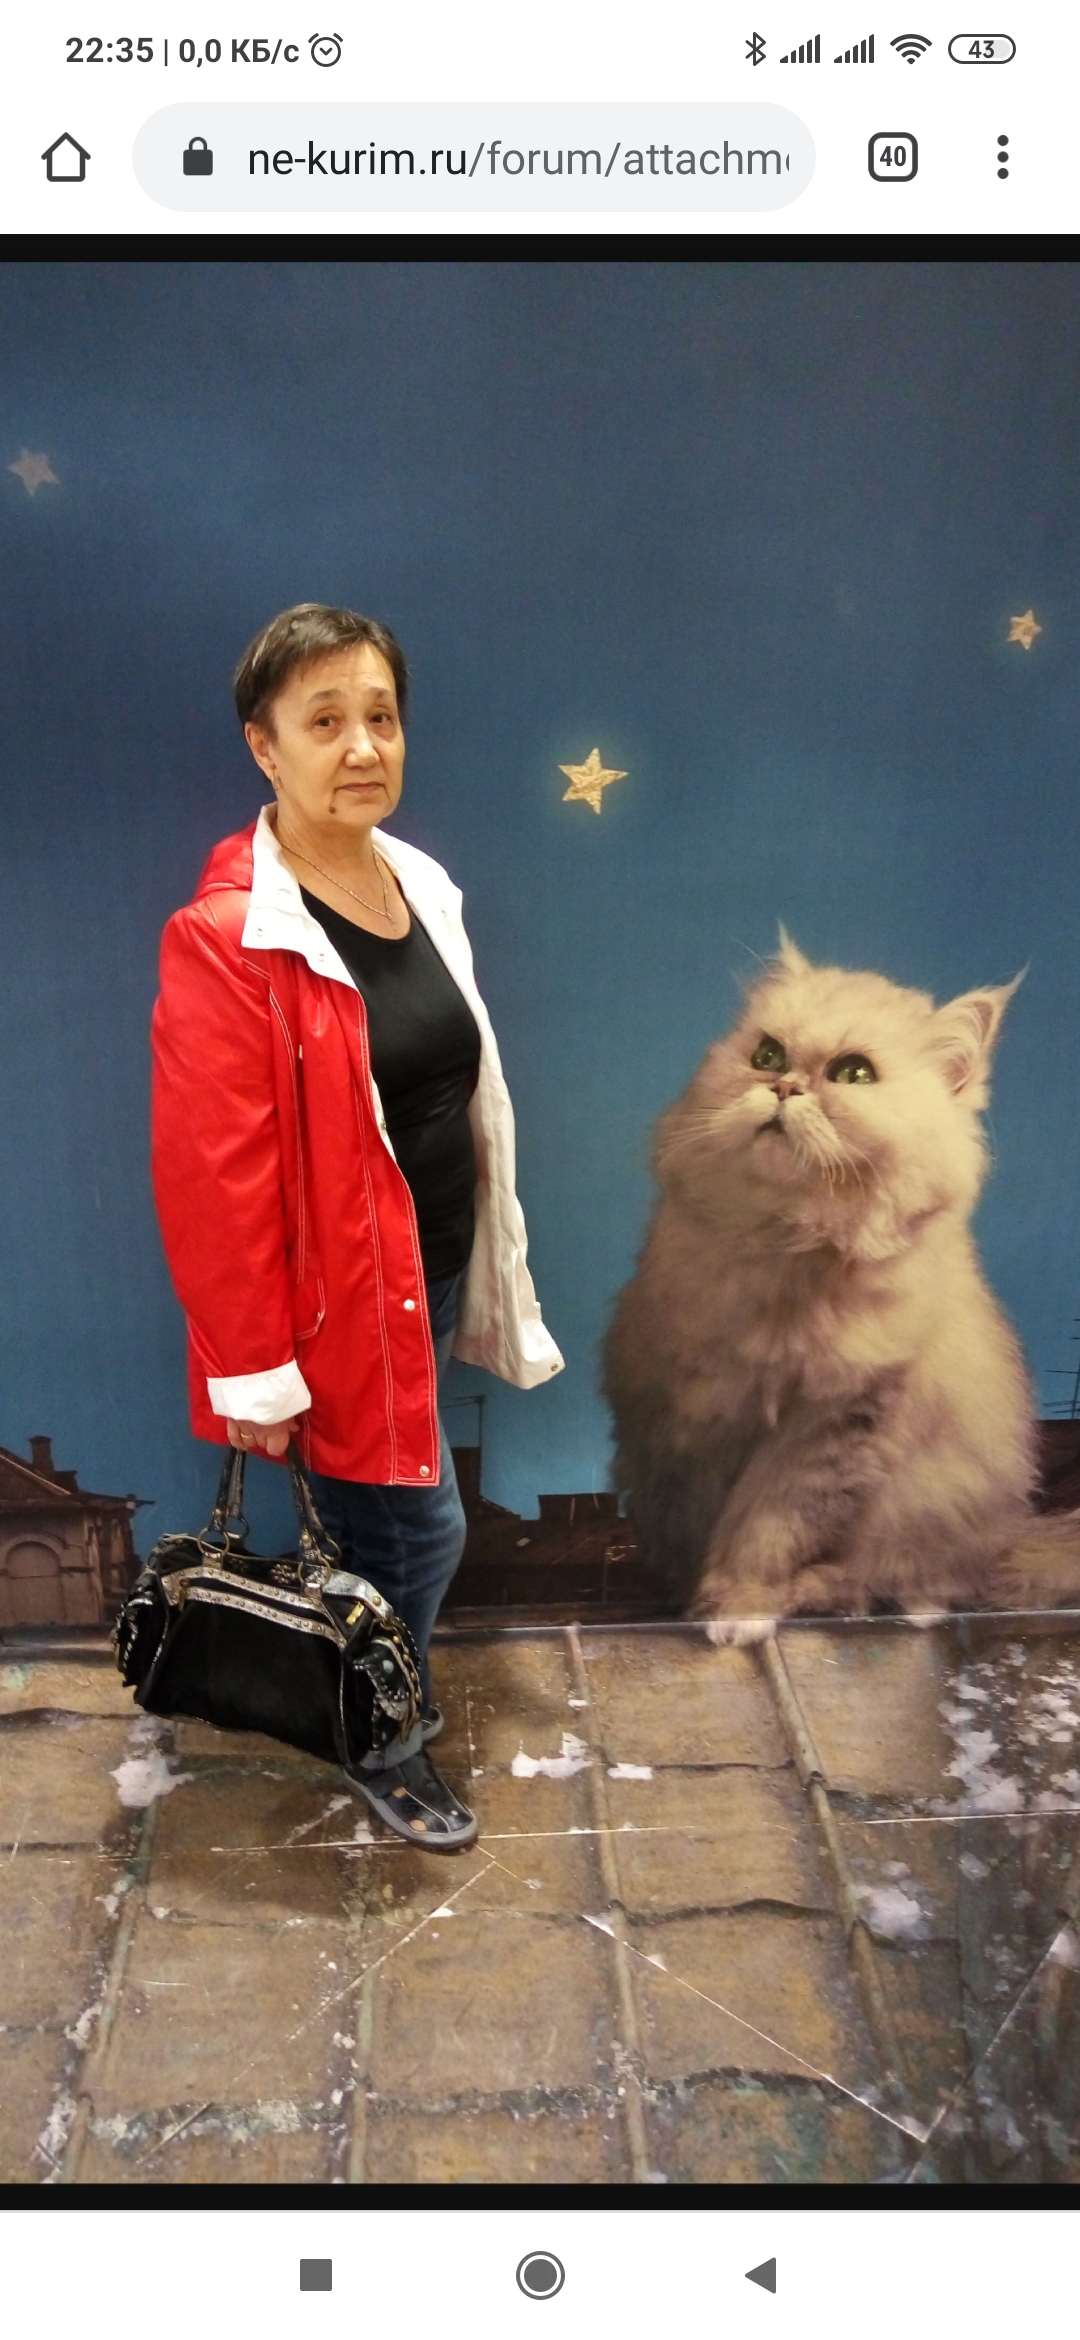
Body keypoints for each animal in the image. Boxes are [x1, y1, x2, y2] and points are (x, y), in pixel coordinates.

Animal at [604, 934, 1080, 1634]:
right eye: (767, 1056)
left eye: (854, 1075)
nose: (783, 1088)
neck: (789, 1244)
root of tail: (1009, 1537)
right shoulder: (686, 1413)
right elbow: (694, 1520)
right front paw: (689, 1601)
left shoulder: (834, 1423)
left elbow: (764, 1530)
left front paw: (738, 1608)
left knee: (917, 1582)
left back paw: (862, 1598)